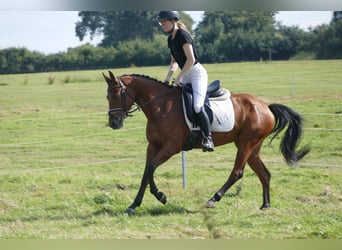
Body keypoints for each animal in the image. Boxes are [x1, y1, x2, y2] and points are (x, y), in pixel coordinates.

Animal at [102, 71, 310, 215]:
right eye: (107, 97)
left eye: (115, 96)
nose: (113, 123)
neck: (160, 107)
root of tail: (265, 106)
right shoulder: (153, 146)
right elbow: (146, 172)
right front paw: (134, 205)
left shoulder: (171, 148)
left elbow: (152, 168)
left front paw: (161, 196)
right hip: (253, 147)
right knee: (264, 174)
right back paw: (265, 205)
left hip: (246, 144)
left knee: (237, 172)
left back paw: (213, 199)